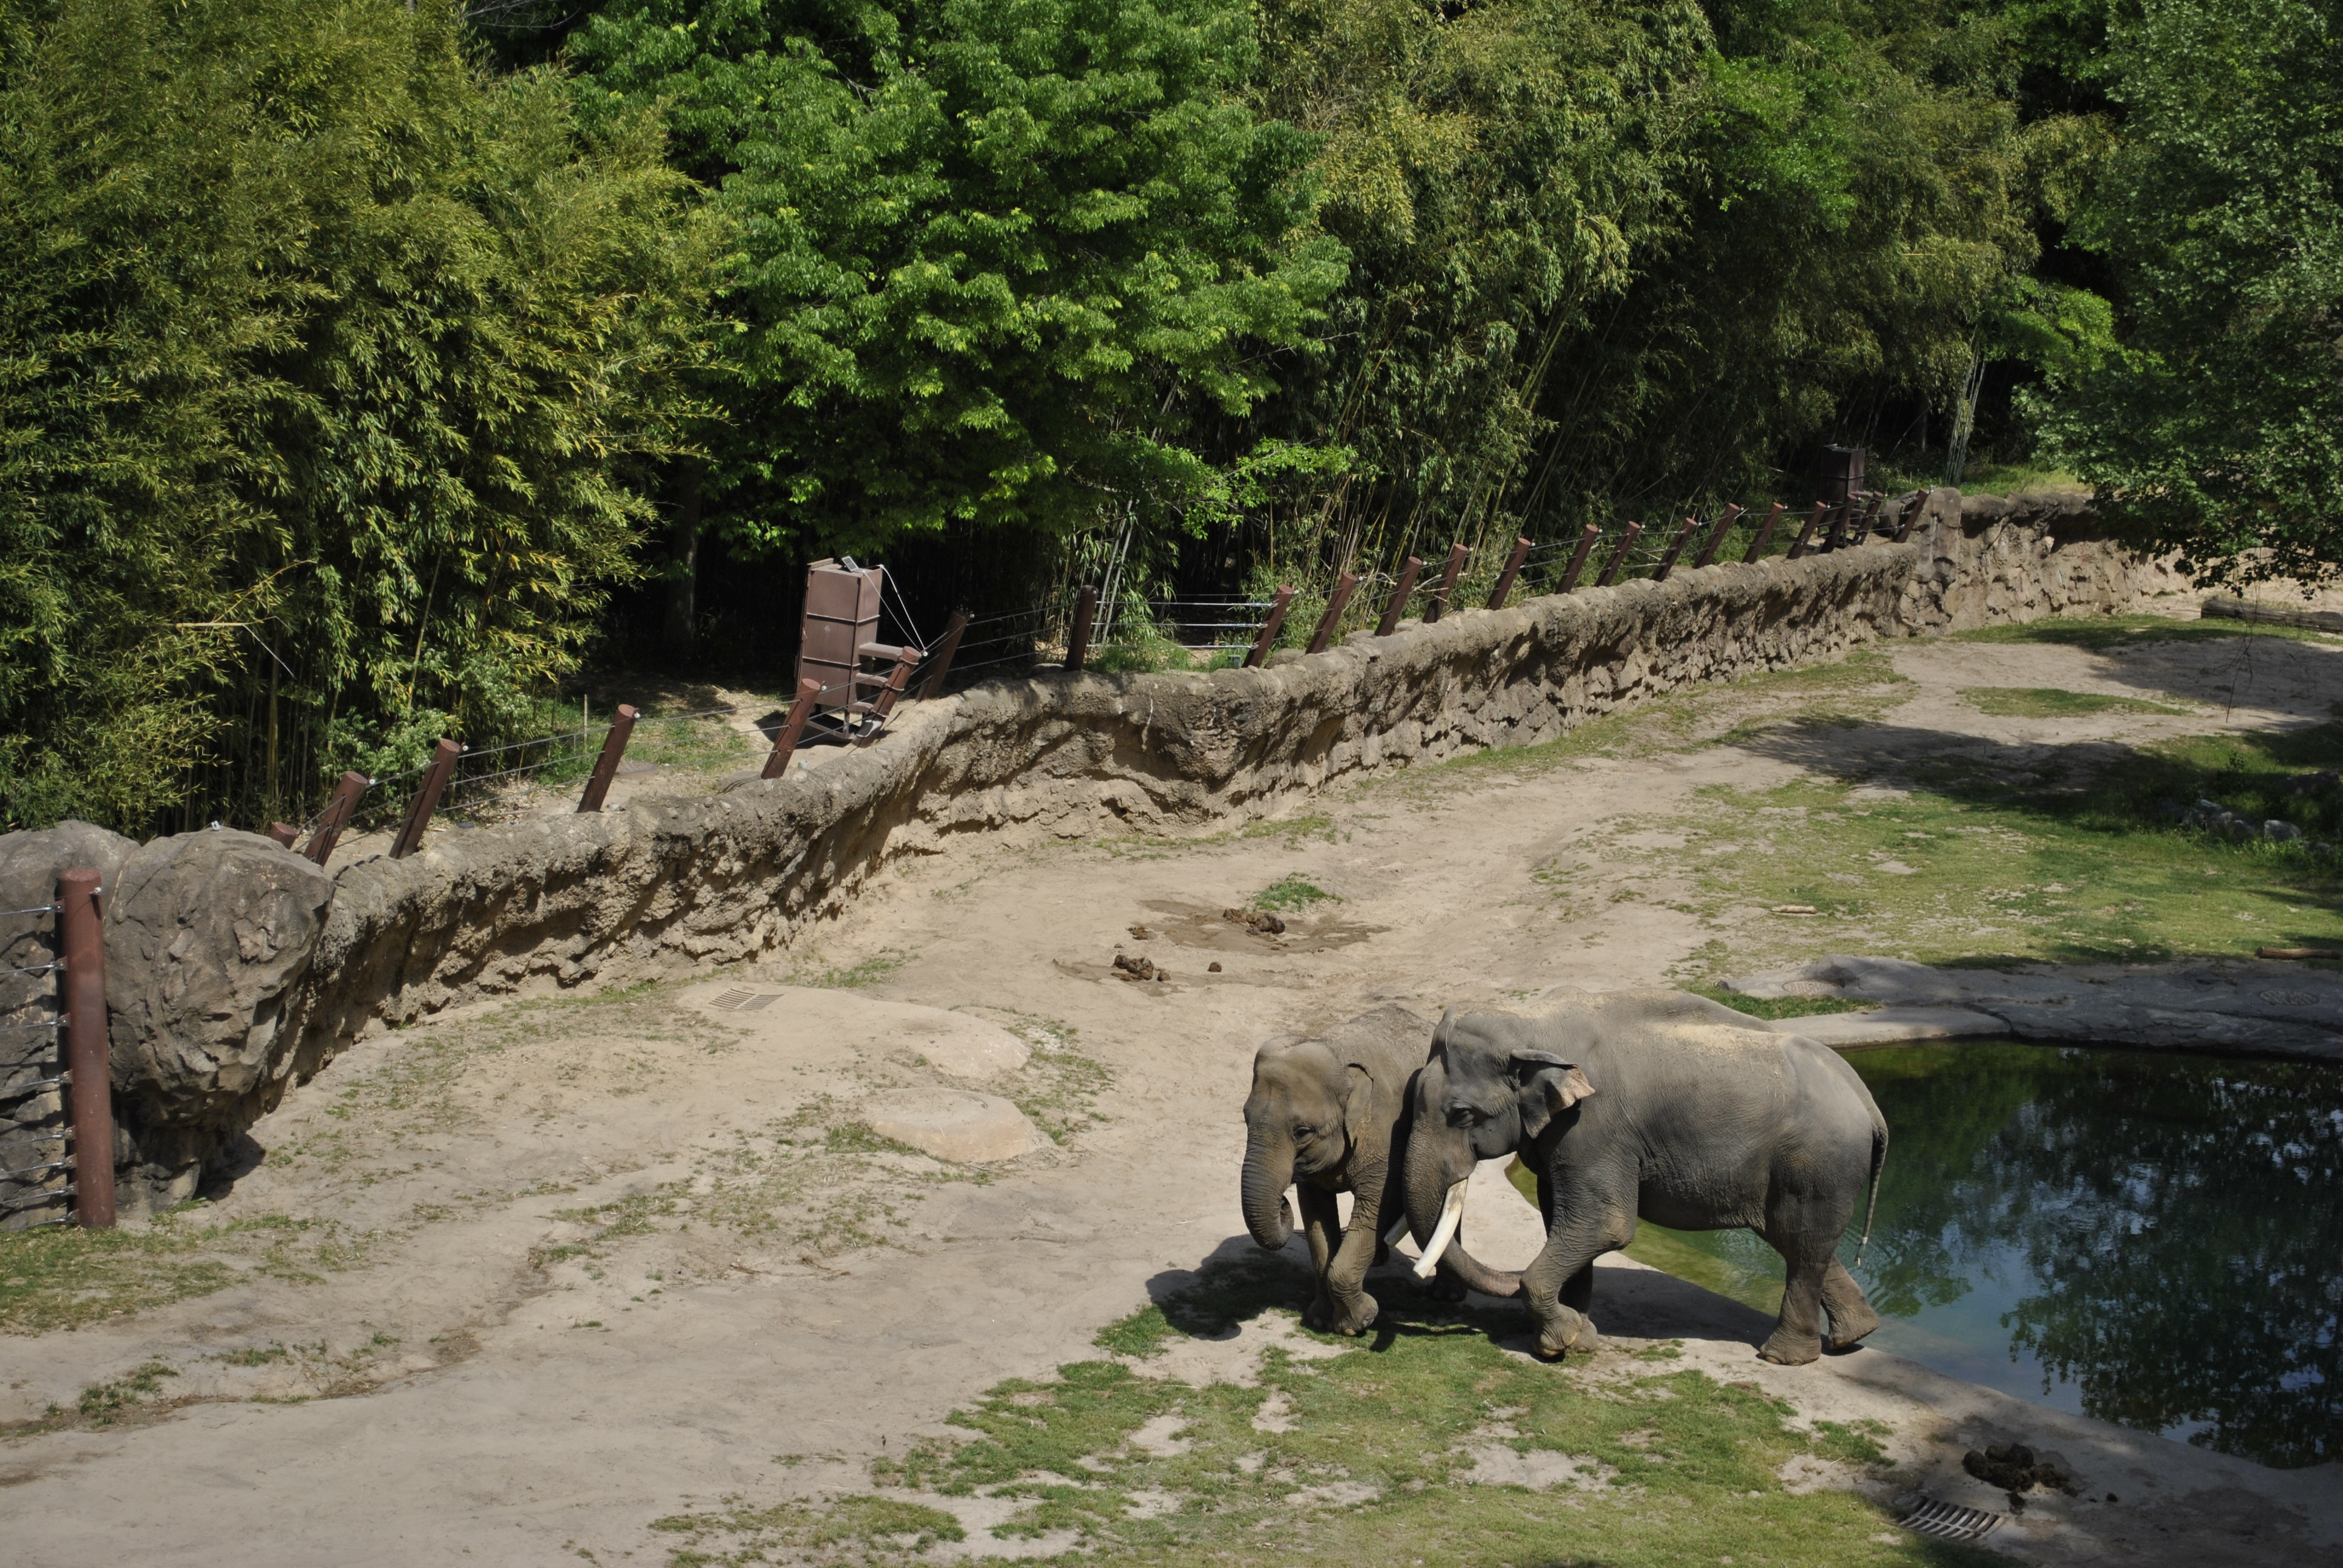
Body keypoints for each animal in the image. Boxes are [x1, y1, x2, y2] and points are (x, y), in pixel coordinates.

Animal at [1241, 1005, 1519, 1334]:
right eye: (1245, 1118)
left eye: (1303, 1132)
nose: (1282, 1203)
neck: (1337, 1054)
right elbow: (1316, 1216)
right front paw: (1321, 1319)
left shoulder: (1386, 1135)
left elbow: (1378, 1203)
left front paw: (1358, 1323)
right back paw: (1377, 1260)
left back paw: (1447, 1295)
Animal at [1403, 989, 1887, 1366]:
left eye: (1462, 1115)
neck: (1530, 1020)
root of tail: (1867, 1100)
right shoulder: (1565, 1137)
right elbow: (1559, 1214)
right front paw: (1579, 1338)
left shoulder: (1594, 1127)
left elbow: (1604, 1224)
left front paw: (1558, 1343)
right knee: (1798, 1240)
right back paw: (1853, 1336)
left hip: (1817, 1161)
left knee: (1801, 1242)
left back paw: (1782, 1357)